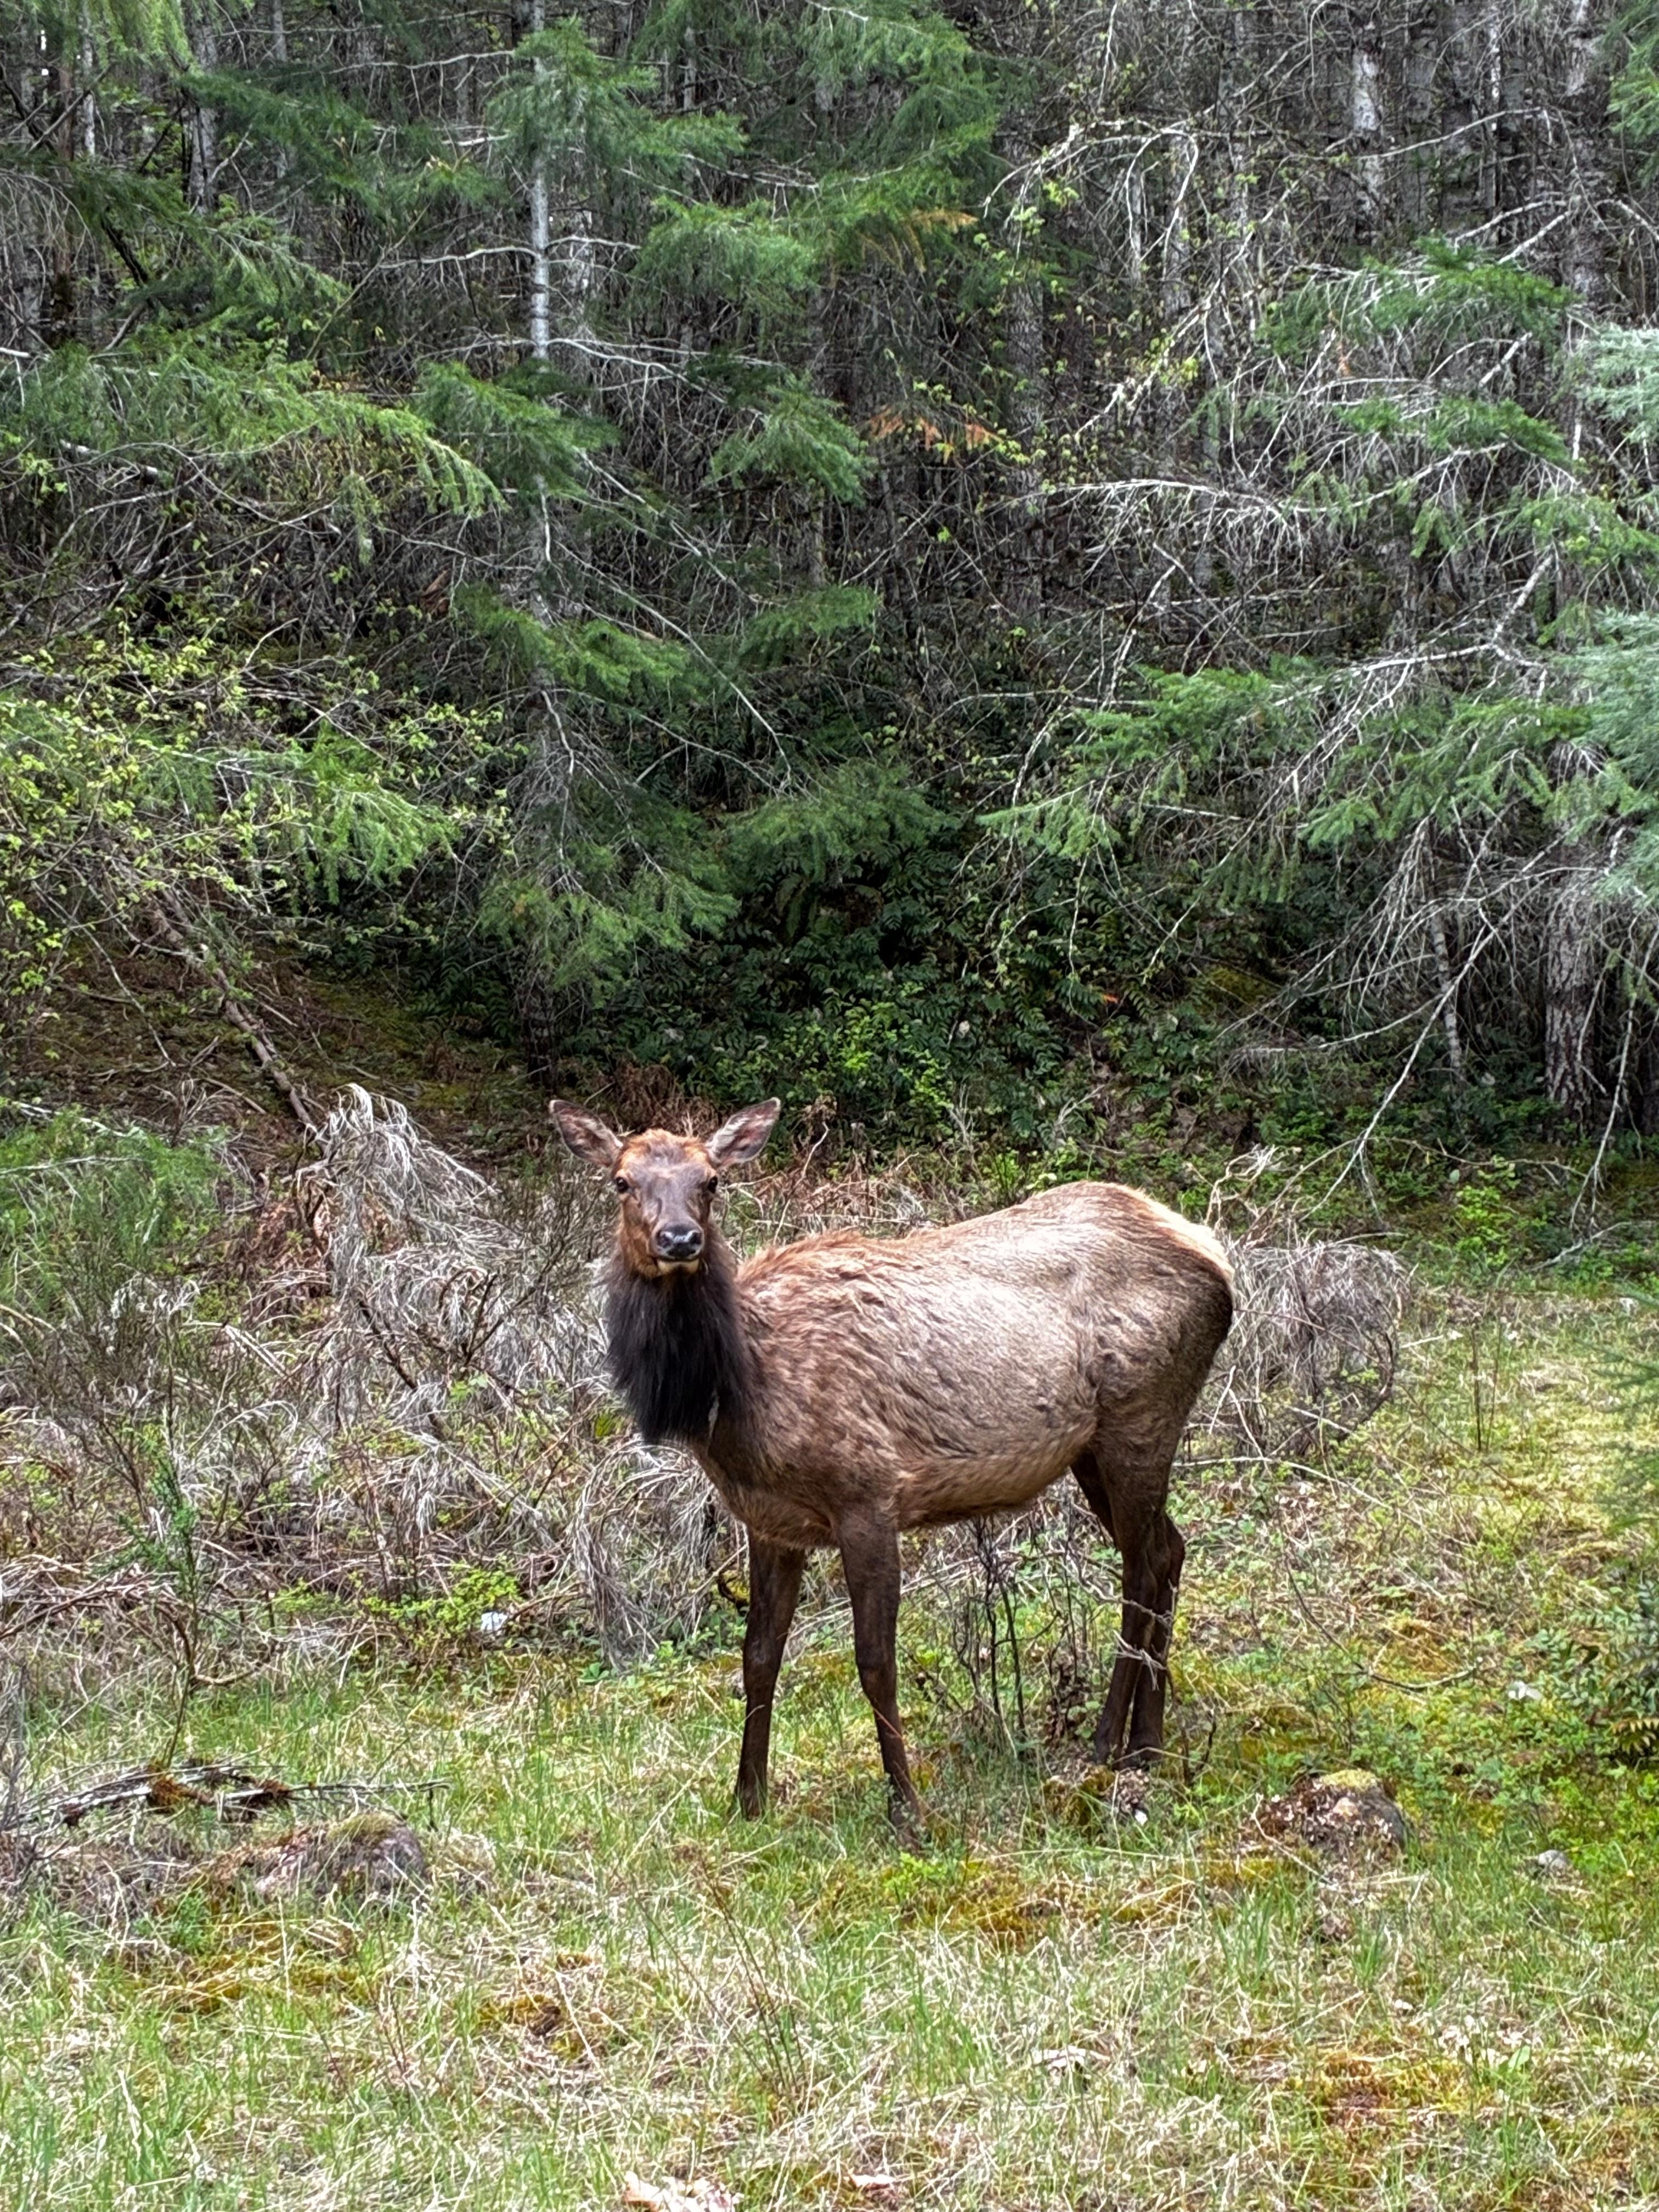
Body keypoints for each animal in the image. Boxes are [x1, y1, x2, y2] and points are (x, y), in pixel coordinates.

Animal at [551, 1096, 1234, 1836]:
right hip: (1093, 1450)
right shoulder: (772, 1523)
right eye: (622, 1181)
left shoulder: (867, 1496)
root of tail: (1217, 1258)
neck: (738, 1394)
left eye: (711, 1181)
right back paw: (1149, 1743)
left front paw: (907, 1806)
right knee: (1171, 1549)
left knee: (1142, 1568)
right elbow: (759, 1657)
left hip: (1142, 1417)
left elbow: (875, 1661)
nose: (679, 1240)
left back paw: (1109, 1743)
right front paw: (748, 1799)